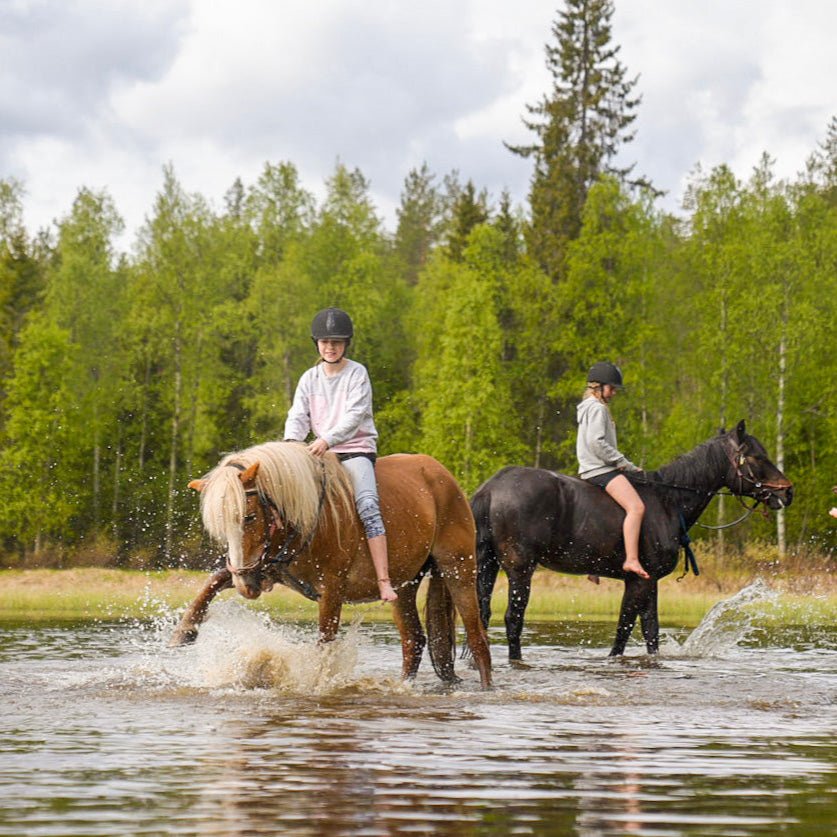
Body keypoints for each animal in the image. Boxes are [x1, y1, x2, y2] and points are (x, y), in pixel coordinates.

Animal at [171, 442, 492, 689]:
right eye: (219, 525)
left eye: (248, 517)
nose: (245, 587)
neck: (306, 518)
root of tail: (443, 476)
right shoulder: (266, 568)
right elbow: (215, 579)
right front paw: (185, 630)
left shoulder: (332, 590)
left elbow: (325, 644)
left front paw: (317, 683)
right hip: (404, 586)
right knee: (413, 640)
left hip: (458, 570)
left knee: (477, 638)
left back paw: (487, 688)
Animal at [472, 421, 793, 661]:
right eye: (757, 457)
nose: (787, 492)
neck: (668, 500)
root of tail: (493, 487)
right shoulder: (638, 580)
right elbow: (624, 629)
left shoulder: (649, 581)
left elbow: (650, 629)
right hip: (520, 569)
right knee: (513, 618)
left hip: (489, 564)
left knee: (482, 614)